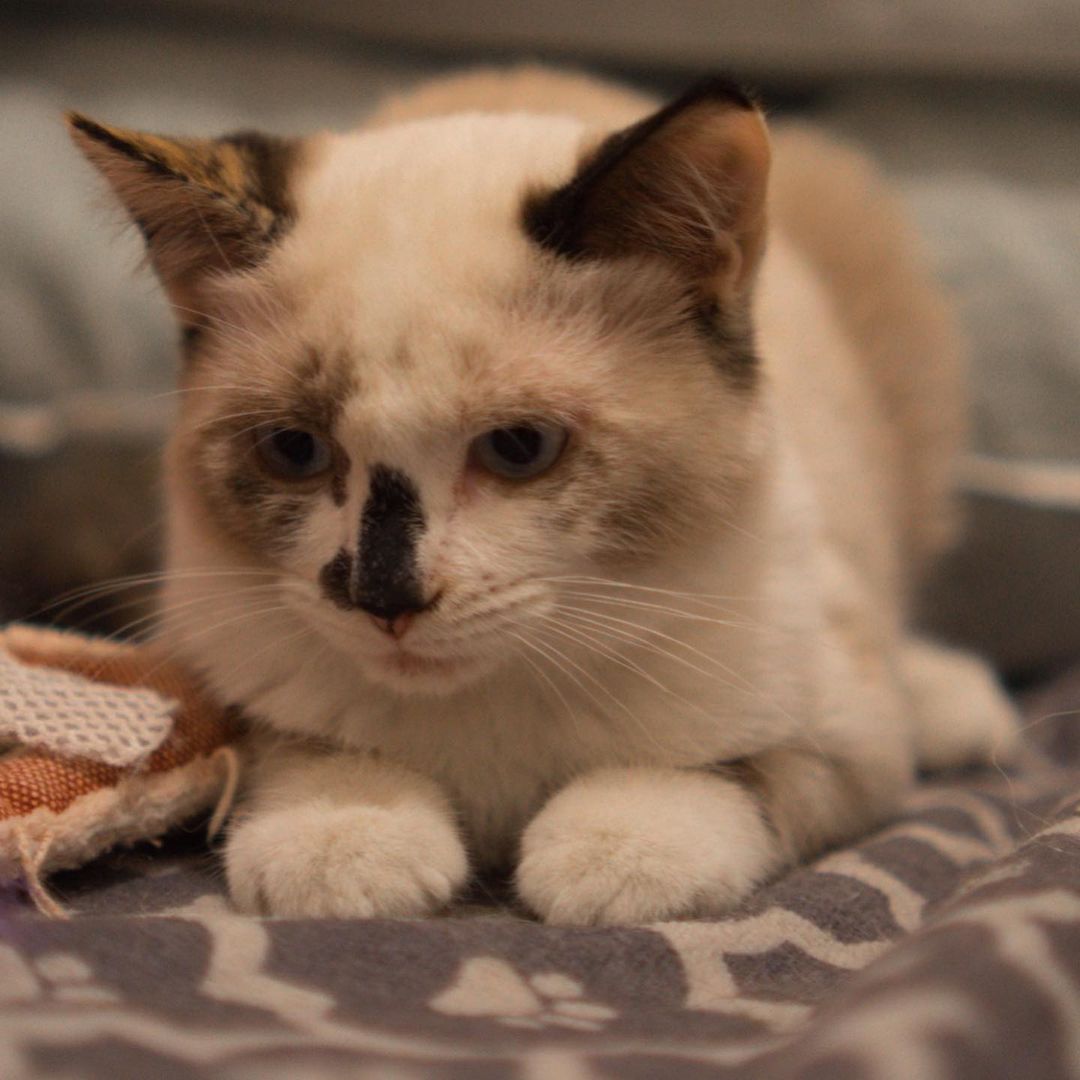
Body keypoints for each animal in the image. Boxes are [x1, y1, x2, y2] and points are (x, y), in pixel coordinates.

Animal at [69, 67, 1019, 924]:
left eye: (518, 448)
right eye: (295, 450)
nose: (385, 599)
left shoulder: (850, 744)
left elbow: (725, 772)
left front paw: (616, 852)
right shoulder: (229, 684)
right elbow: (298, 753)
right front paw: (344, 837)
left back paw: (954, 702)